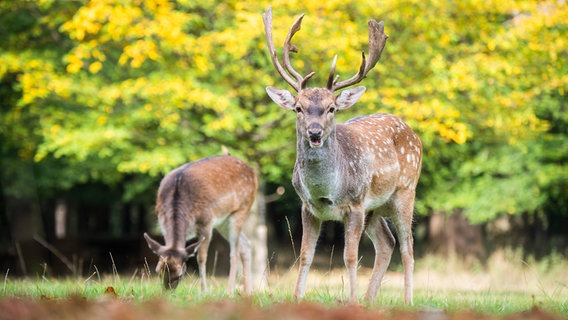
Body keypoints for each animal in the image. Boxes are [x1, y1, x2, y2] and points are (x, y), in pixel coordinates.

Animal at [144, 156, 258, 296]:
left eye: (180, 274)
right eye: (158, 271)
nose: (167, 292)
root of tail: (252, 171)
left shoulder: (206, 223)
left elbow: (201, 258)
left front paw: (204, 292)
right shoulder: (163, 226)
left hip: (241, 209)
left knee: (234, 253)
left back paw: (229, 292)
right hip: (223, 221)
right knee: (245, 244)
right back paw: (249, 292)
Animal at [264, 6, 420, 304]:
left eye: (332, 108)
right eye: (298, 108)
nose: (314, 132)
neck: (327, 191)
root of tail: (412, 132)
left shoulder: (355, 204)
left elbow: (349, 257)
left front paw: (352, 301)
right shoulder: (307, 207)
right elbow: (305, 256)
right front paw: (297, 298)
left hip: (405, 192)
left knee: (407, 247)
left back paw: (407, 300)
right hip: (375, 208)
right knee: (387, 242)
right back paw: (371, 299)